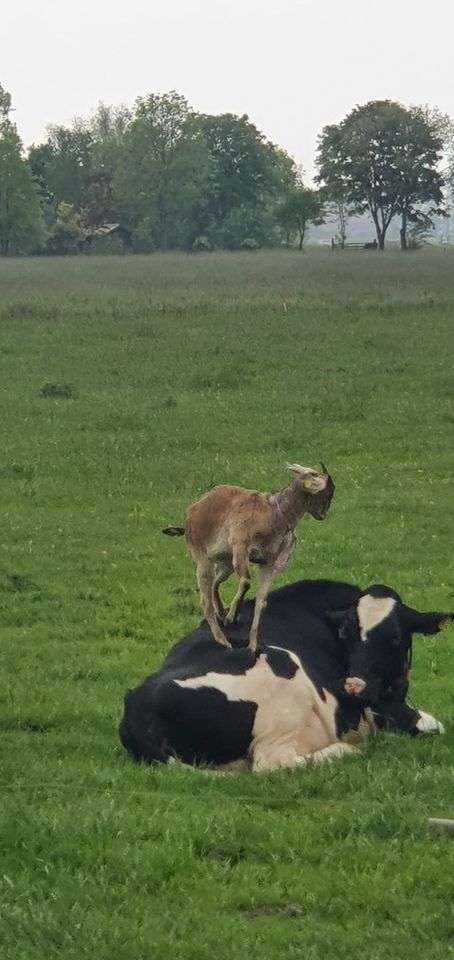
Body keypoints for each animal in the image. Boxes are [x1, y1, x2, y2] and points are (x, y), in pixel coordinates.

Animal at [119, 576, 452, 772]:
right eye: (345, 632)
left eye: (395, 638)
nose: (354, 686)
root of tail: (137, 704)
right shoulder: (382, 709)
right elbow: (434, 725)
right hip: (284, 677)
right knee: (273, 763)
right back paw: (347, 750)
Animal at [162, 464, 334, 652]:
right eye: (326, 492)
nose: (323, 514)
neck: (275, 513)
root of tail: (192, 512)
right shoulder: (241, 548)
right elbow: (245, 582)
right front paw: (232, 617)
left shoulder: (268, 562)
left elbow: (261, 601)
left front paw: (252, 644)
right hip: (203, 559)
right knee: (205, 601)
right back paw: (223, 639)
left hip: (225, 562)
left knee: (215, 584)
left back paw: (221, 614)